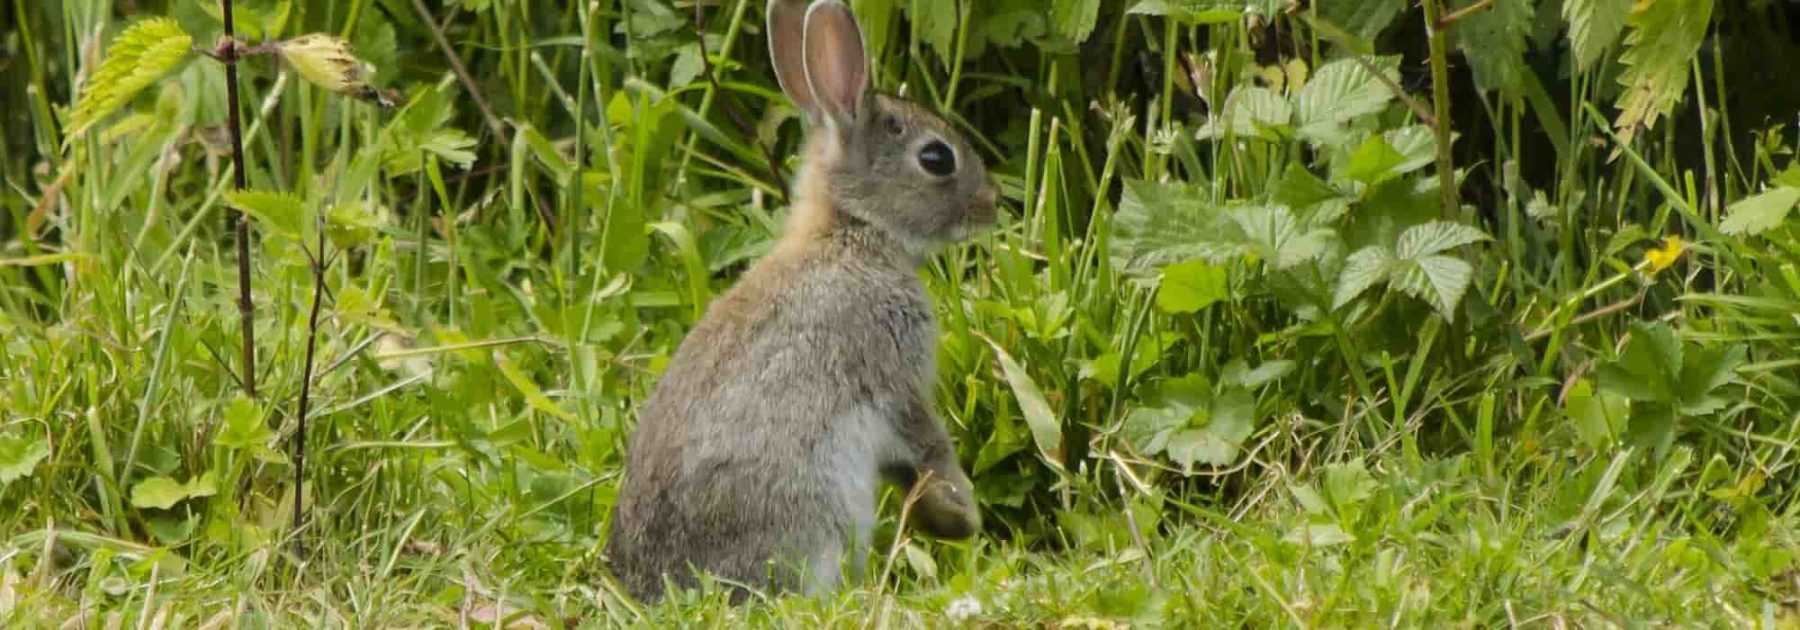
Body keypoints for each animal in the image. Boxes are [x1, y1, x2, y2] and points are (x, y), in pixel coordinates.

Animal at [604, 0, 1000, 604]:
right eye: (936, 158)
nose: (992, 202)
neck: (850, 232)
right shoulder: (894, 375)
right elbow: (929, 443)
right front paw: (962, 513)